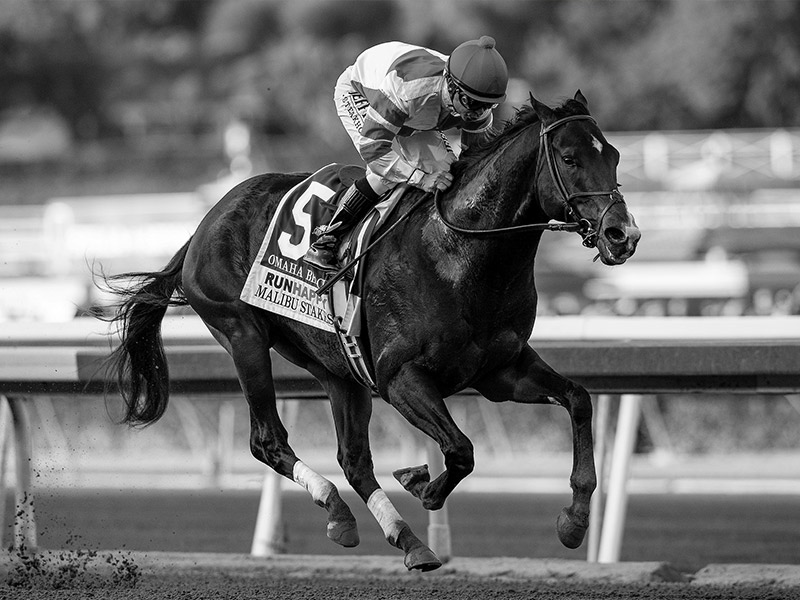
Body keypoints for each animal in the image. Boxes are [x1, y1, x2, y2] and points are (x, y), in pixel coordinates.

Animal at [108, 92, 644, 572]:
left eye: (614, 155)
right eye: (570, 158)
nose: (623, 234)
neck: (460, 254)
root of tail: (204, 223)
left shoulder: (501, 371)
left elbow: (578, 399)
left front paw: (574, 519)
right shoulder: (400, 377)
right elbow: (461, 451)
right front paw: (422, 484)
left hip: (336, 366)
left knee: (354, 459)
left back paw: (397, 537)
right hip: (243, 337)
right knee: (268, 441)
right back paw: (339, 505)